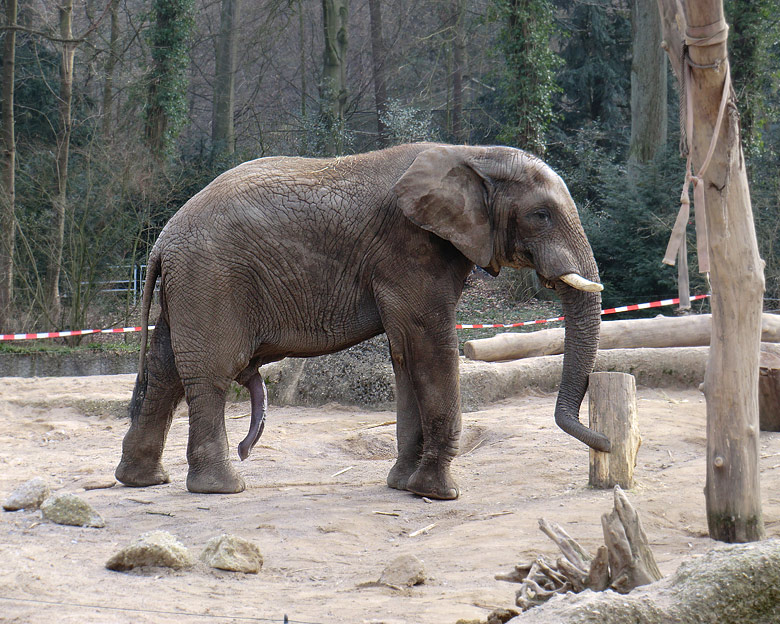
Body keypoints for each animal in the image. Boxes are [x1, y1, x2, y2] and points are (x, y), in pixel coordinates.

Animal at [114, 144, 608, 500]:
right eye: (540, 216)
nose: (603, 442)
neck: (474, 153)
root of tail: (162, 240)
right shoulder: (410, 250)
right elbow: (431, 349)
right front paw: (439, 494)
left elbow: (405, 355)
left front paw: (402, 485)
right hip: (211, 279)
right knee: (210, 373)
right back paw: (221, 488)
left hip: (191, 284)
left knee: (164, 372)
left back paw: (143, 481)